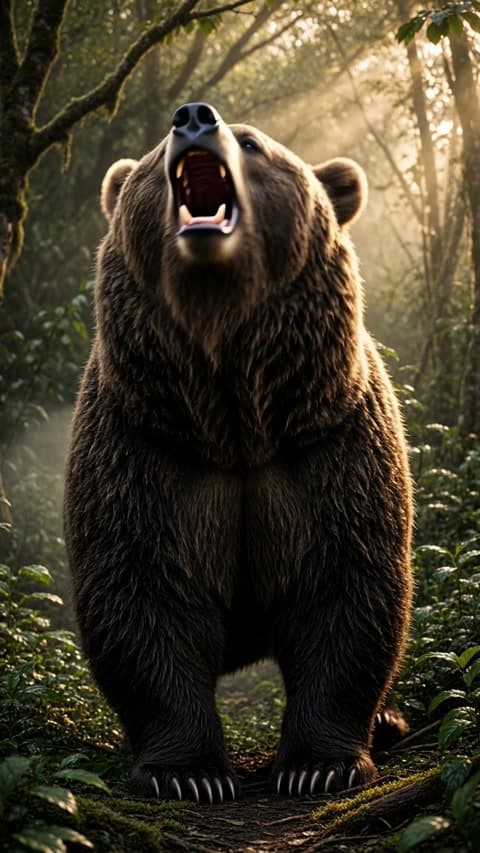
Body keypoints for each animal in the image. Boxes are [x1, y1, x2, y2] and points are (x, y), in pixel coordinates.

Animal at [64, 102, 413, 803]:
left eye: (252, 143)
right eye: (154, 152)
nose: (193, 116)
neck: (234, 419)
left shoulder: (326, 444)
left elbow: (347, 588)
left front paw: (319, 765)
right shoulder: (146, 447)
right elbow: (142, 593)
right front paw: (187, 774)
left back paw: (389, 721)